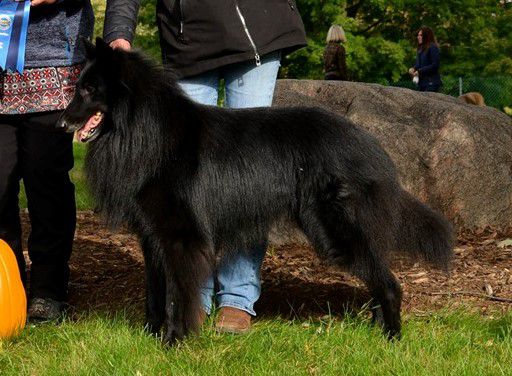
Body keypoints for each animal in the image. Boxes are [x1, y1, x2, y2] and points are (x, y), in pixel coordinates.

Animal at [58, 39, 454, 344]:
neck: (145, 131)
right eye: (78, 87)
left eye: (89, 90)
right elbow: (156, 293)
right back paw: (376, 331)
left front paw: (174, 340)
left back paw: (391, 338)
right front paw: (150, 337)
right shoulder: (152, 237)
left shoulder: (180, 238)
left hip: (337, 231)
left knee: (388, 284)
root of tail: (369, 144)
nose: (62, 123)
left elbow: (175, 295)